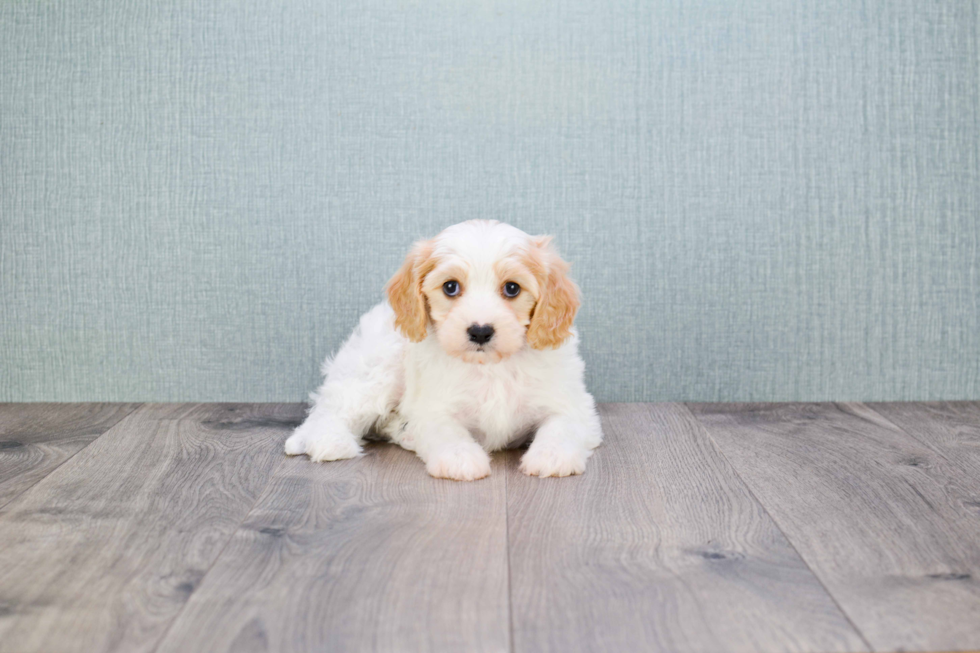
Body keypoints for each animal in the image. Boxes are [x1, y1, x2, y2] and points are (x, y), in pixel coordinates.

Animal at [284, 219, 600, 478]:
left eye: (512, 288)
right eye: (450, 287)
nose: (480, 331)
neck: (491, 368)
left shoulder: (571, 402)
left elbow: (562, 425)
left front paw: (552, 456)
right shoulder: (434, 407)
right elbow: (446, 431)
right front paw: (460, 459)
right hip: (378, 367)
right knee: (332, 409)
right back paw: (329, 441)